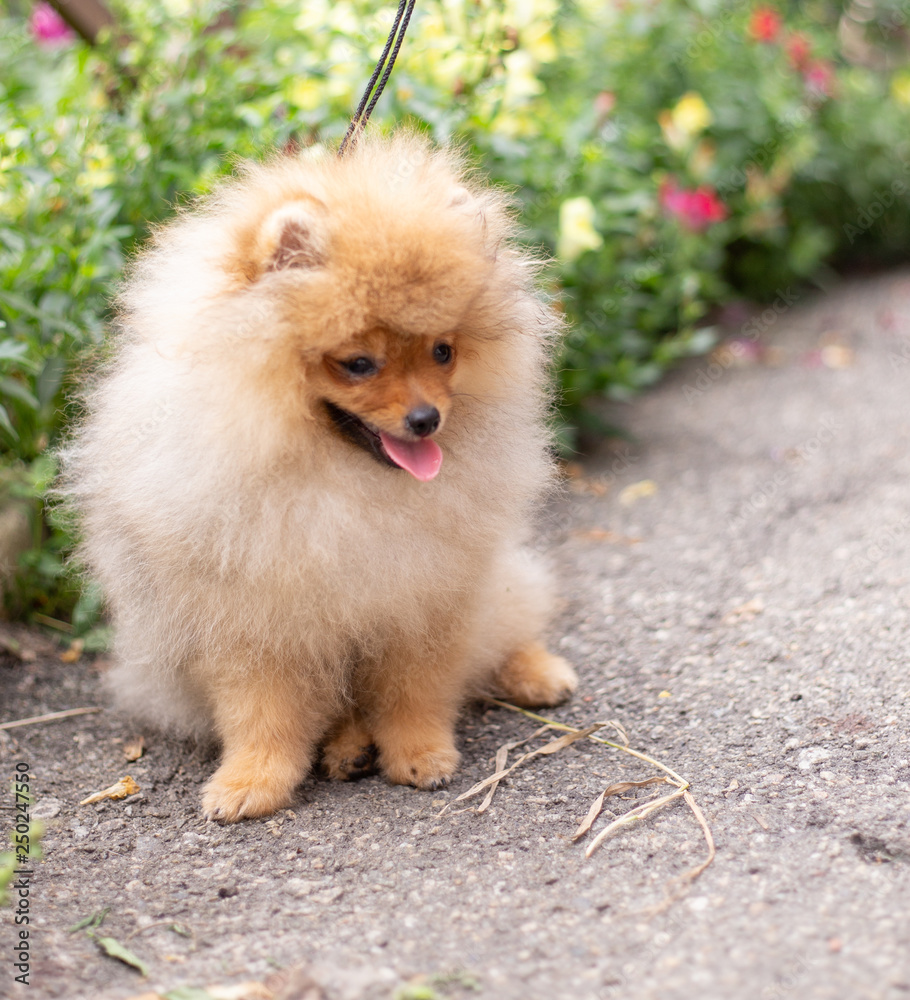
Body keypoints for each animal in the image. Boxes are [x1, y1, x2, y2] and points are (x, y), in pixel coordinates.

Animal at [62, 133, 576, 820]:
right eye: (359, 363)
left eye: (443, 351)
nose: (426, 419)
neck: (339, 483)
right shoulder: (251, 621)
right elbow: (261, 714)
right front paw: (250, 782)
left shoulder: (424, 600)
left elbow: (415, 692)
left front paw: (421, 754)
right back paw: (346, 744)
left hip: (496, 587)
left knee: (513, 624)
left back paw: (536, 674)